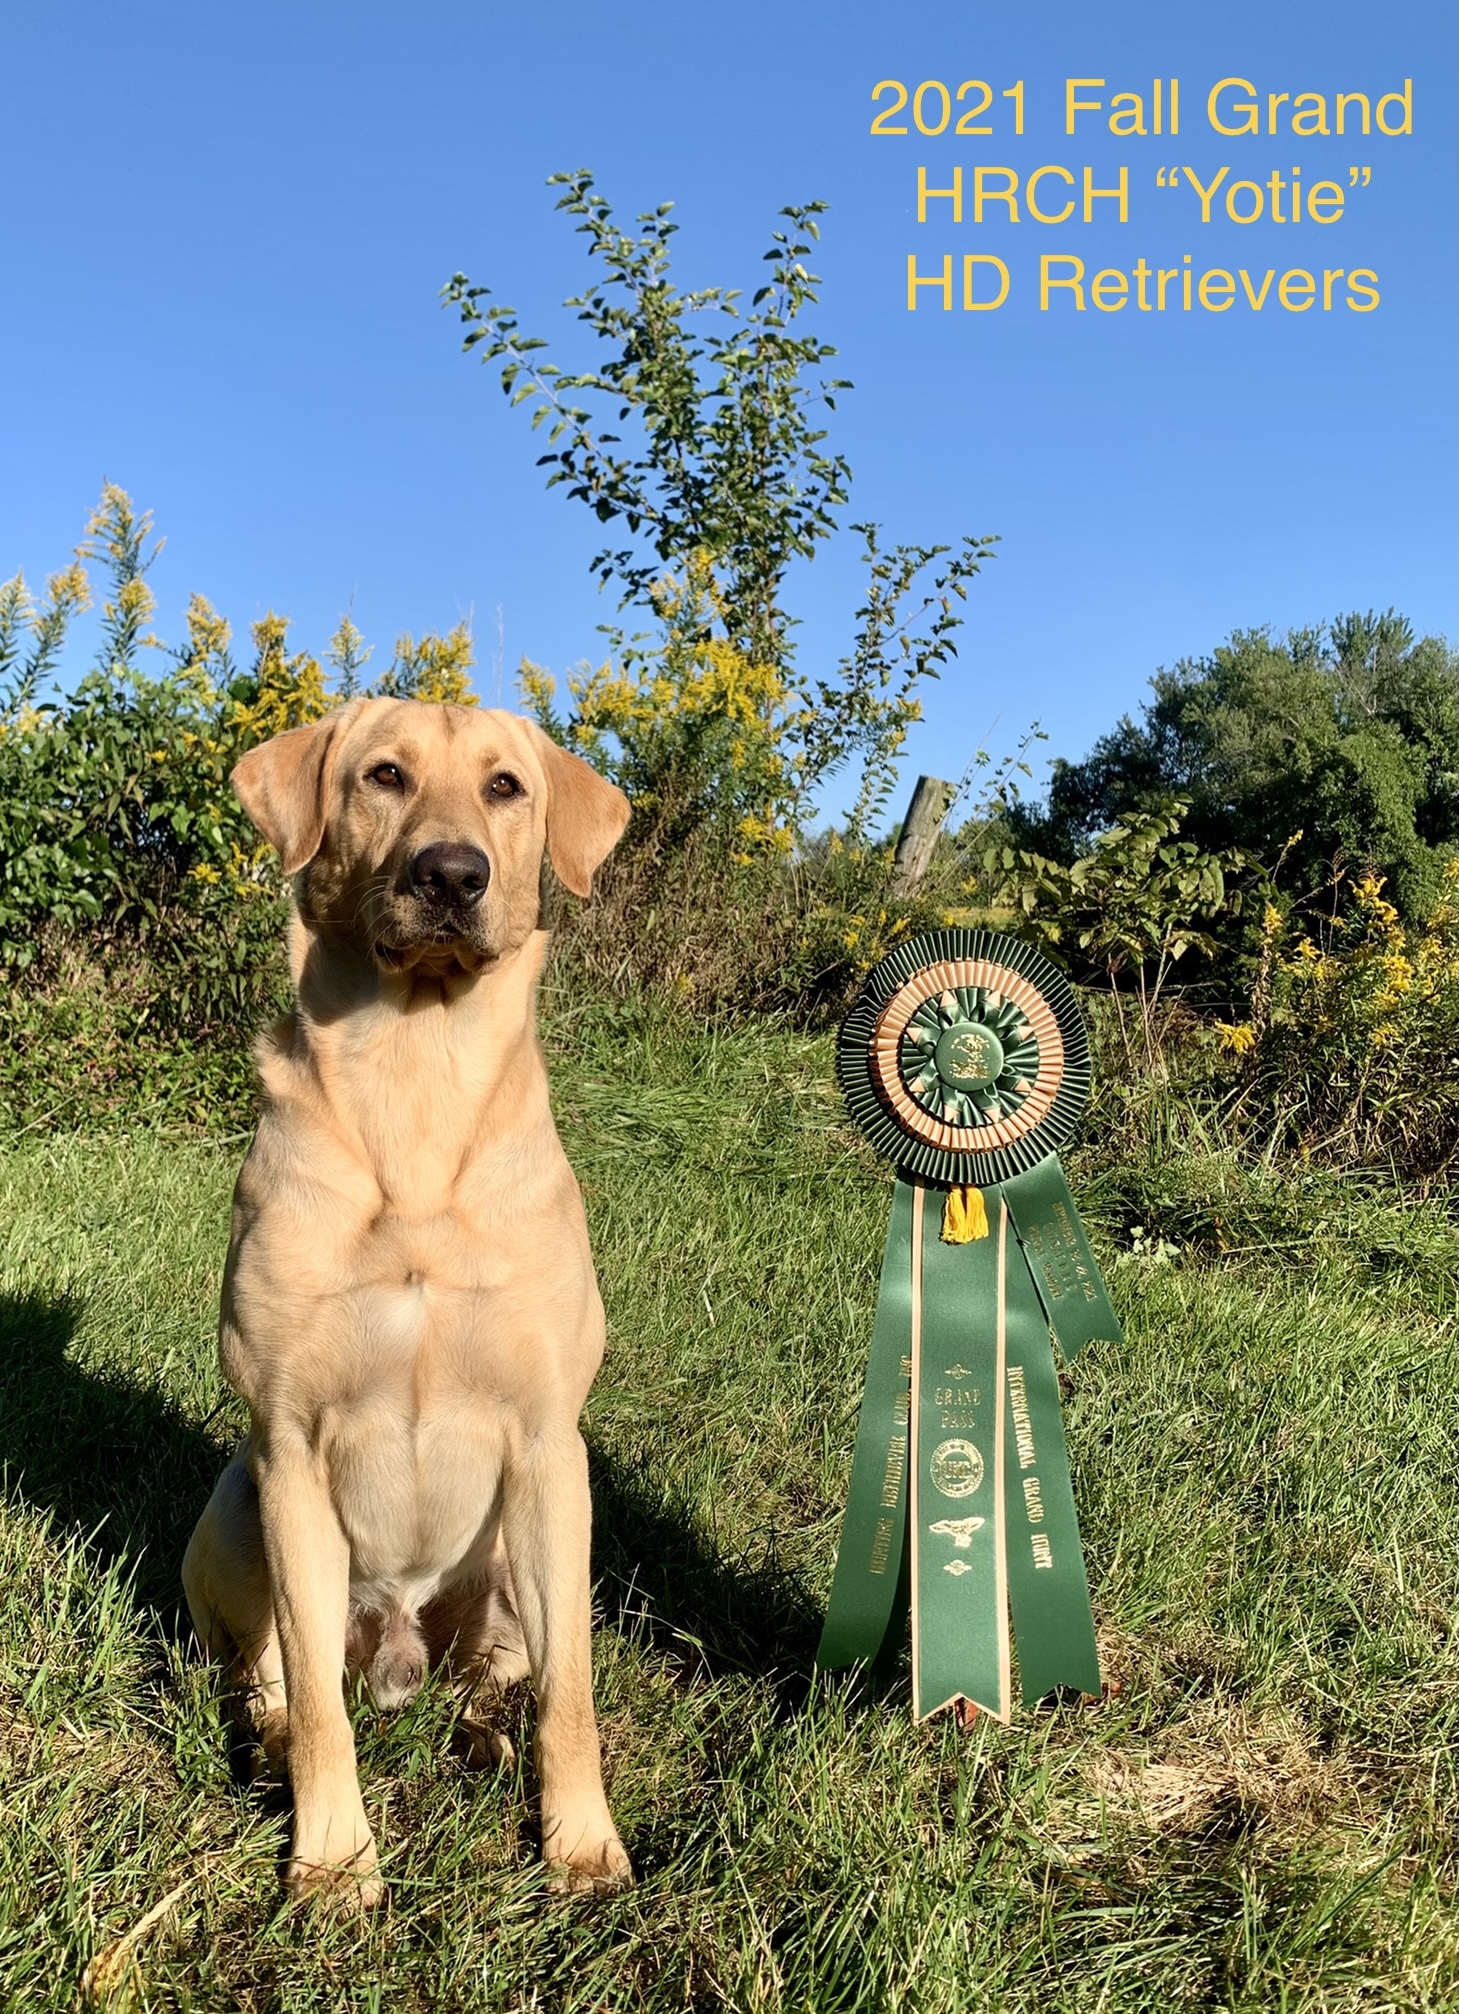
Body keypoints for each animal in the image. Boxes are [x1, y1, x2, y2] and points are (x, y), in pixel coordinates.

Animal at [181, 696, 632, 1901]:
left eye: (505, 787)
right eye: (384, 775)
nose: (451, 874)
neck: (417, 1089)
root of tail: (398, 1649)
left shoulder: (548, 1445)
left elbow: (574, 1698)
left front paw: (581, 1846)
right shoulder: (290, 1443)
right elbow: (315, 1710)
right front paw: (334, 1863)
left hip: (529, 1560)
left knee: (503, 1681)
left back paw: (482, 1741)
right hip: (238, 1511)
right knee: (273, 1682)